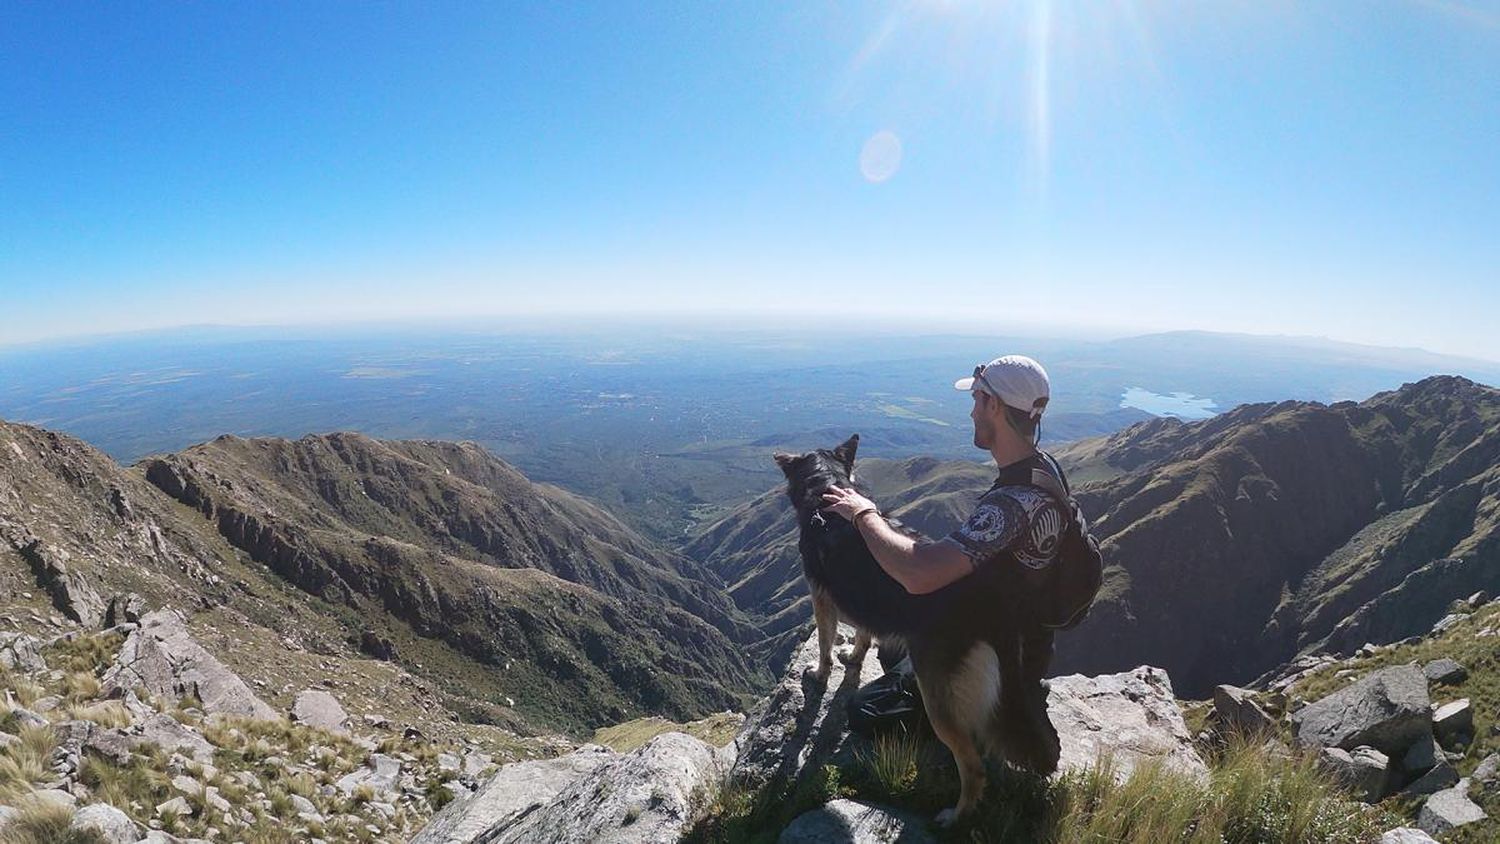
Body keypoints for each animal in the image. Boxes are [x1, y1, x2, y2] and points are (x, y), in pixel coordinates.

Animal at [780, 434, 1062, 827]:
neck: (828, 490)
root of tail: (993, 608)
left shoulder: (821, 597)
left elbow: (823, 644)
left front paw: (820, 674)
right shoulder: (865, 601)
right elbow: (864, 635)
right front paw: (853, 656)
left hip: (935, 695)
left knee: (972, 765)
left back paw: (955, 816)